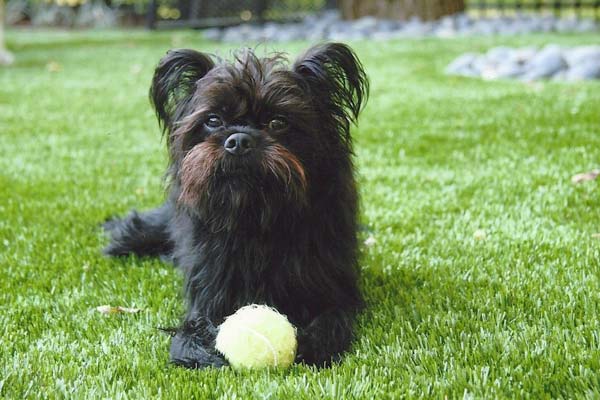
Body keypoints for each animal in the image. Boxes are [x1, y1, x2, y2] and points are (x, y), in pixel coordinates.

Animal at [102, 42, 370, 368]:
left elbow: (333, 318)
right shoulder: (208, 291)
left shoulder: (334, 289)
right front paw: (199, 350)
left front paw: (315, 344)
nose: (239, 139)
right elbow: (189, 330)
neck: (253, 217)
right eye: (213, 120)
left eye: (278, 122)